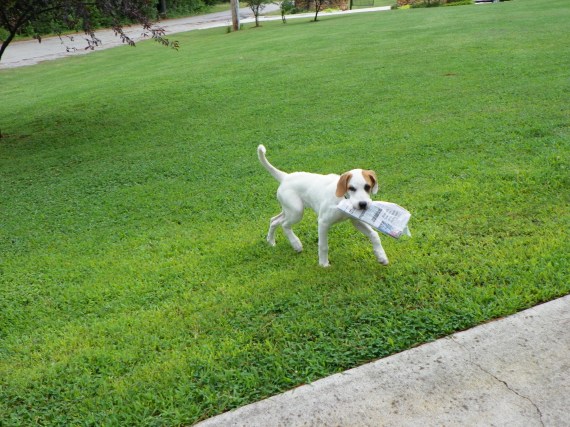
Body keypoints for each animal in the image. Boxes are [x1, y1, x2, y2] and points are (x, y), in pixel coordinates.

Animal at [257, 144, 389, 267]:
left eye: (368, 187)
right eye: (351, 188)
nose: (363, 204)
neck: (343, 199)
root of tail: (285, 177)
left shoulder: (356, 221)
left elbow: (374, 234)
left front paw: (381, 256)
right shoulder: (323, 222)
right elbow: (323, 245)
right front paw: (323, 264)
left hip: (289, 210)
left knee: (274, 220)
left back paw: (271, 241)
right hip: (296, 211)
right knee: (284, 224)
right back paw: (296, 244)